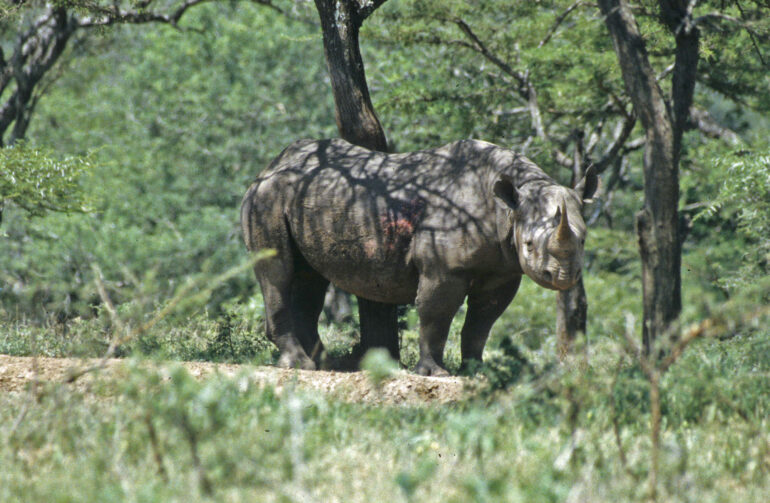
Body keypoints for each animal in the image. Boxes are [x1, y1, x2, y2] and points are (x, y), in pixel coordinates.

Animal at [241, 139, 597, 376]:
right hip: (266, 199)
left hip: (302, 200)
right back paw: (300, 364)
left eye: (583, 240)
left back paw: (324, 365)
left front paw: (477, 371)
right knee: (277, 271)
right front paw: (434, 373)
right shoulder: (444, 267)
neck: (508, 207)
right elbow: (435, 315)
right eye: (529, 245)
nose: (563, 277)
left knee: (309, 278)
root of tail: (268, 166)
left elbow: (482, 322)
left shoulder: (503, 270)